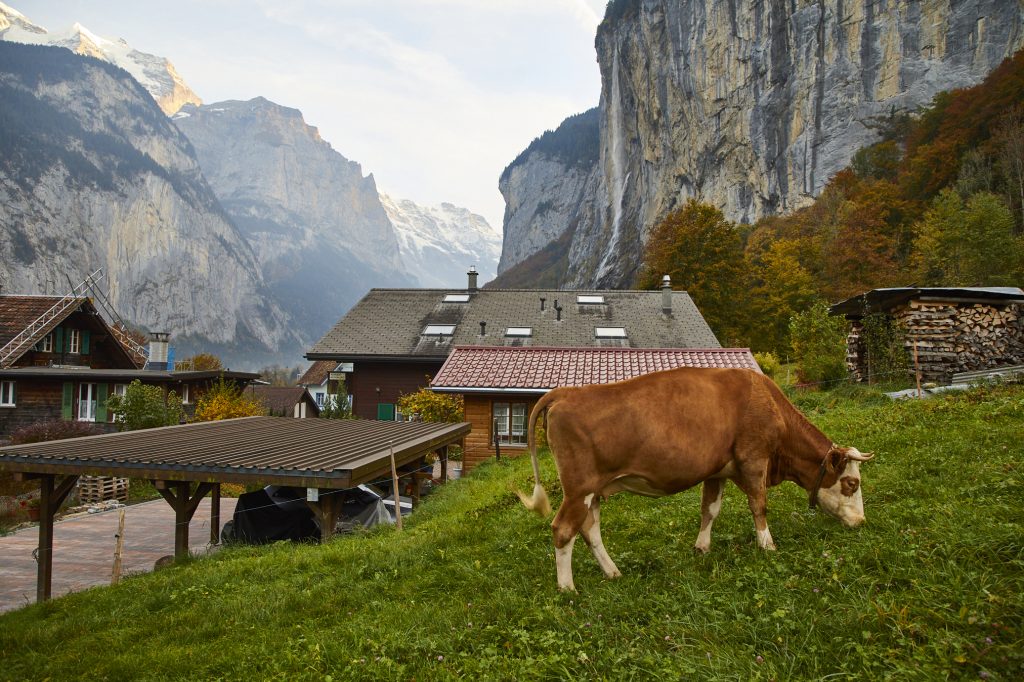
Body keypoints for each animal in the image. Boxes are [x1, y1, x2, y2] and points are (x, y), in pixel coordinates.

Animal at [516, 367, 874, 591]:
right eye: (851, 483)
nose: (861, 521)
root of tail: (565, 392)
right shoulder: (754, 459)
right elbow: (759, 506)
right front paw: (767, 546)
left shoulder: (717, 470)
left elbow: (710, 509)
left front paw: (702, 548)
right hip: (579, 488)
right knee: (564, 529)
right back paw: (567, 589)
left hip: (593, 491)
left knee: (589, 530)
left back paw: (613, 572)